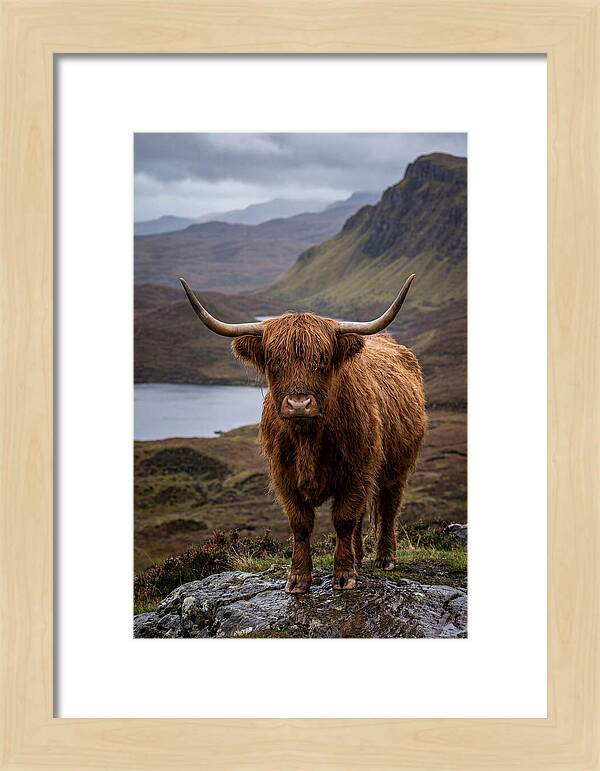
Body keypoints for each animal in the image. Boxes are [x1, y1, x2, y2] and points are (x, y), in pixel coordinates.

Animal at [180, 276, 426, 593]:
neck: (308, 438)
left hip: (397, 467)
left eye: (322, 359)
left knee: (388, 507)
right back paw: (359, 557)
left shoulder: (357, 470)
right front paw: (298, 578)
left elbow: (344, 518)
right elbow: (301, 524)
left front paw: (344, 575)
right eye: (274, 361)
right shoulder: (284, 476)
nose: (299, 404)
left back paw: (385, 558)